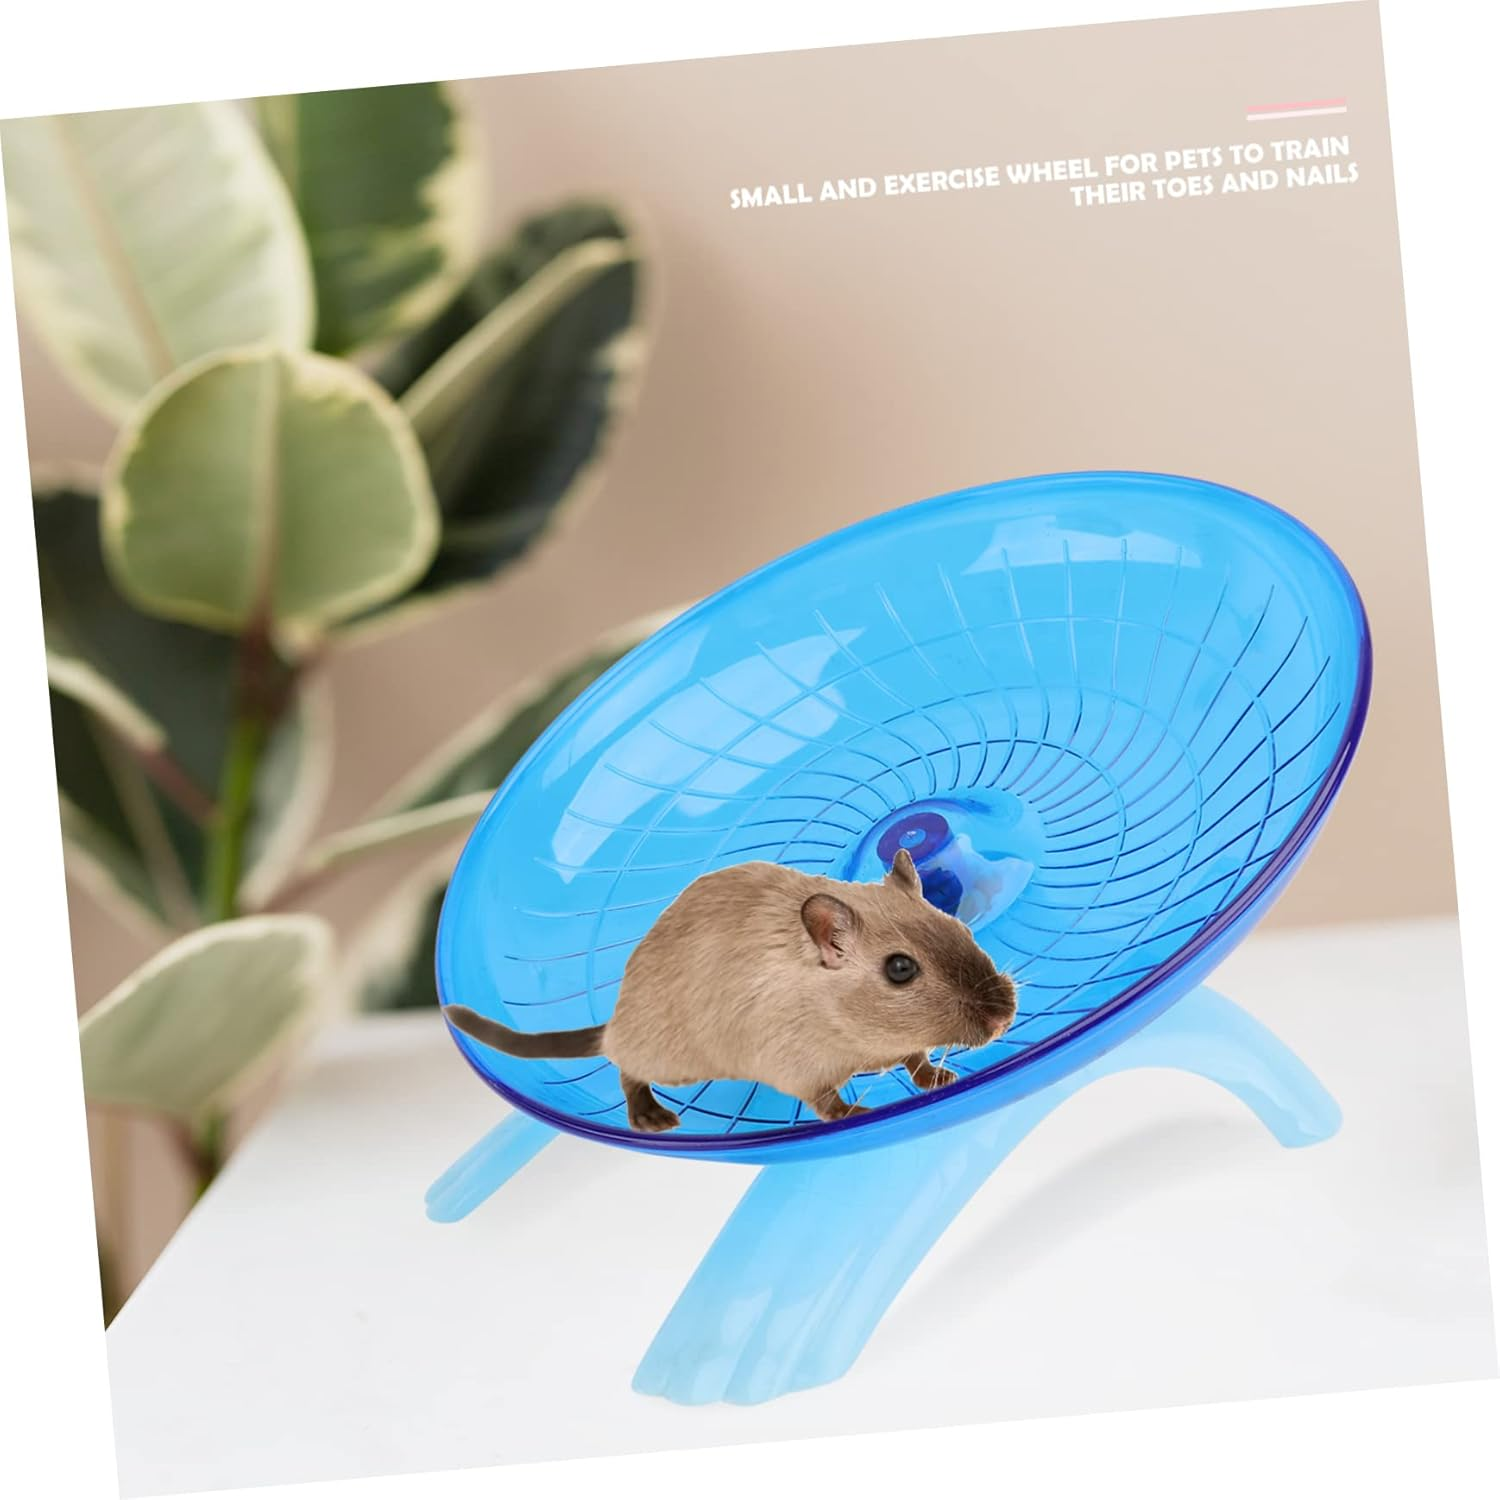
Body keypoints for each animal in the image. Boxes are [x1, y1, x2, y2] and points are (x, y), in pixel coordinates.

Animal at [444, 846, 1018, 1133]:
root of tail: (614, 1020)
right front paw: (858, 1114)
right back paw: (652, 1118)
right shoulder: (795, 1063)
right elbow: (825, 1101)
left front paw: (940, 1077)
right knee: (625, 1070)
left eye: (959, 927)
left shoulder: (897, 1044)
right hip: (667, 1056)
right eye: (900, 969)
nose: (1003, 1017)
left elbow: (916, 1059)